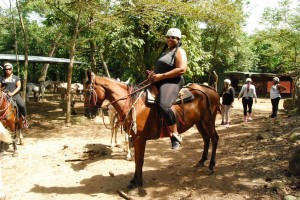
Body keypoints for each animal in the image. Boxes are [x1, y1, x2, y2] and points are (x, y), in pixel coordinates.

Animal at [84, 72, 220, 189]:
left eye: (87, 91)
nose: (87, 114)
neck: (134, 103)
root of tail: (211, 90)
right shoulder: (135, 137)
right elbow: (137, 160)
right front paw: (135, 180)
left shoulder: (140, 138)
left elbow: (140, 160)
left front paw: (137, 181)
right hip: (199, 122)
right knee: (206, 139)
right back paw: (202, 161)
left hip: (208, 121)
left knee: (214, 139)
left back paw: (211, 165)